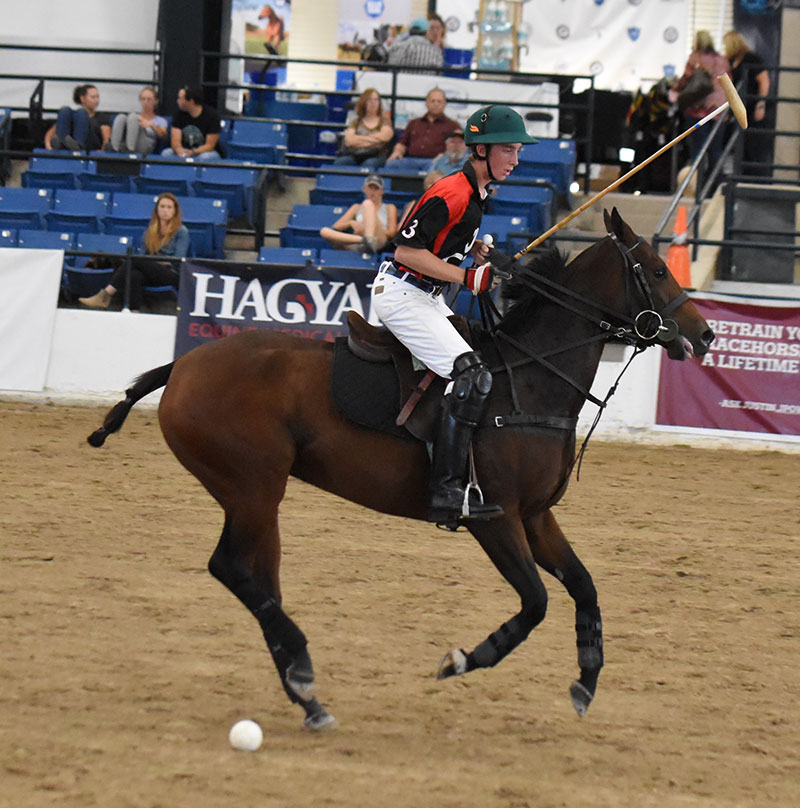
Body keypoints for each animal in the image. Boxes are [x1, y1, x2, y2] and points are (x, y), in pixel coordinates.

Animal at [86, 208, 712, 732]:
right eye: (658, 269)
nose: (704, 335)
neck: (530, 380)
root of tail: (182, 366)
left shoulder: (535, 516)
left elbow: (584, 587)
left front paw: (585, 682)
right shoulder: (493, 518)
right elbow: (535, 602)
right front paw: (461, 660)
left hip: (259, 498)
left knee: (261, 581)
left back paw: (306, 696)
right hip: (250, 487)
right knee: (231, 567)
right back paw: (305, 671)